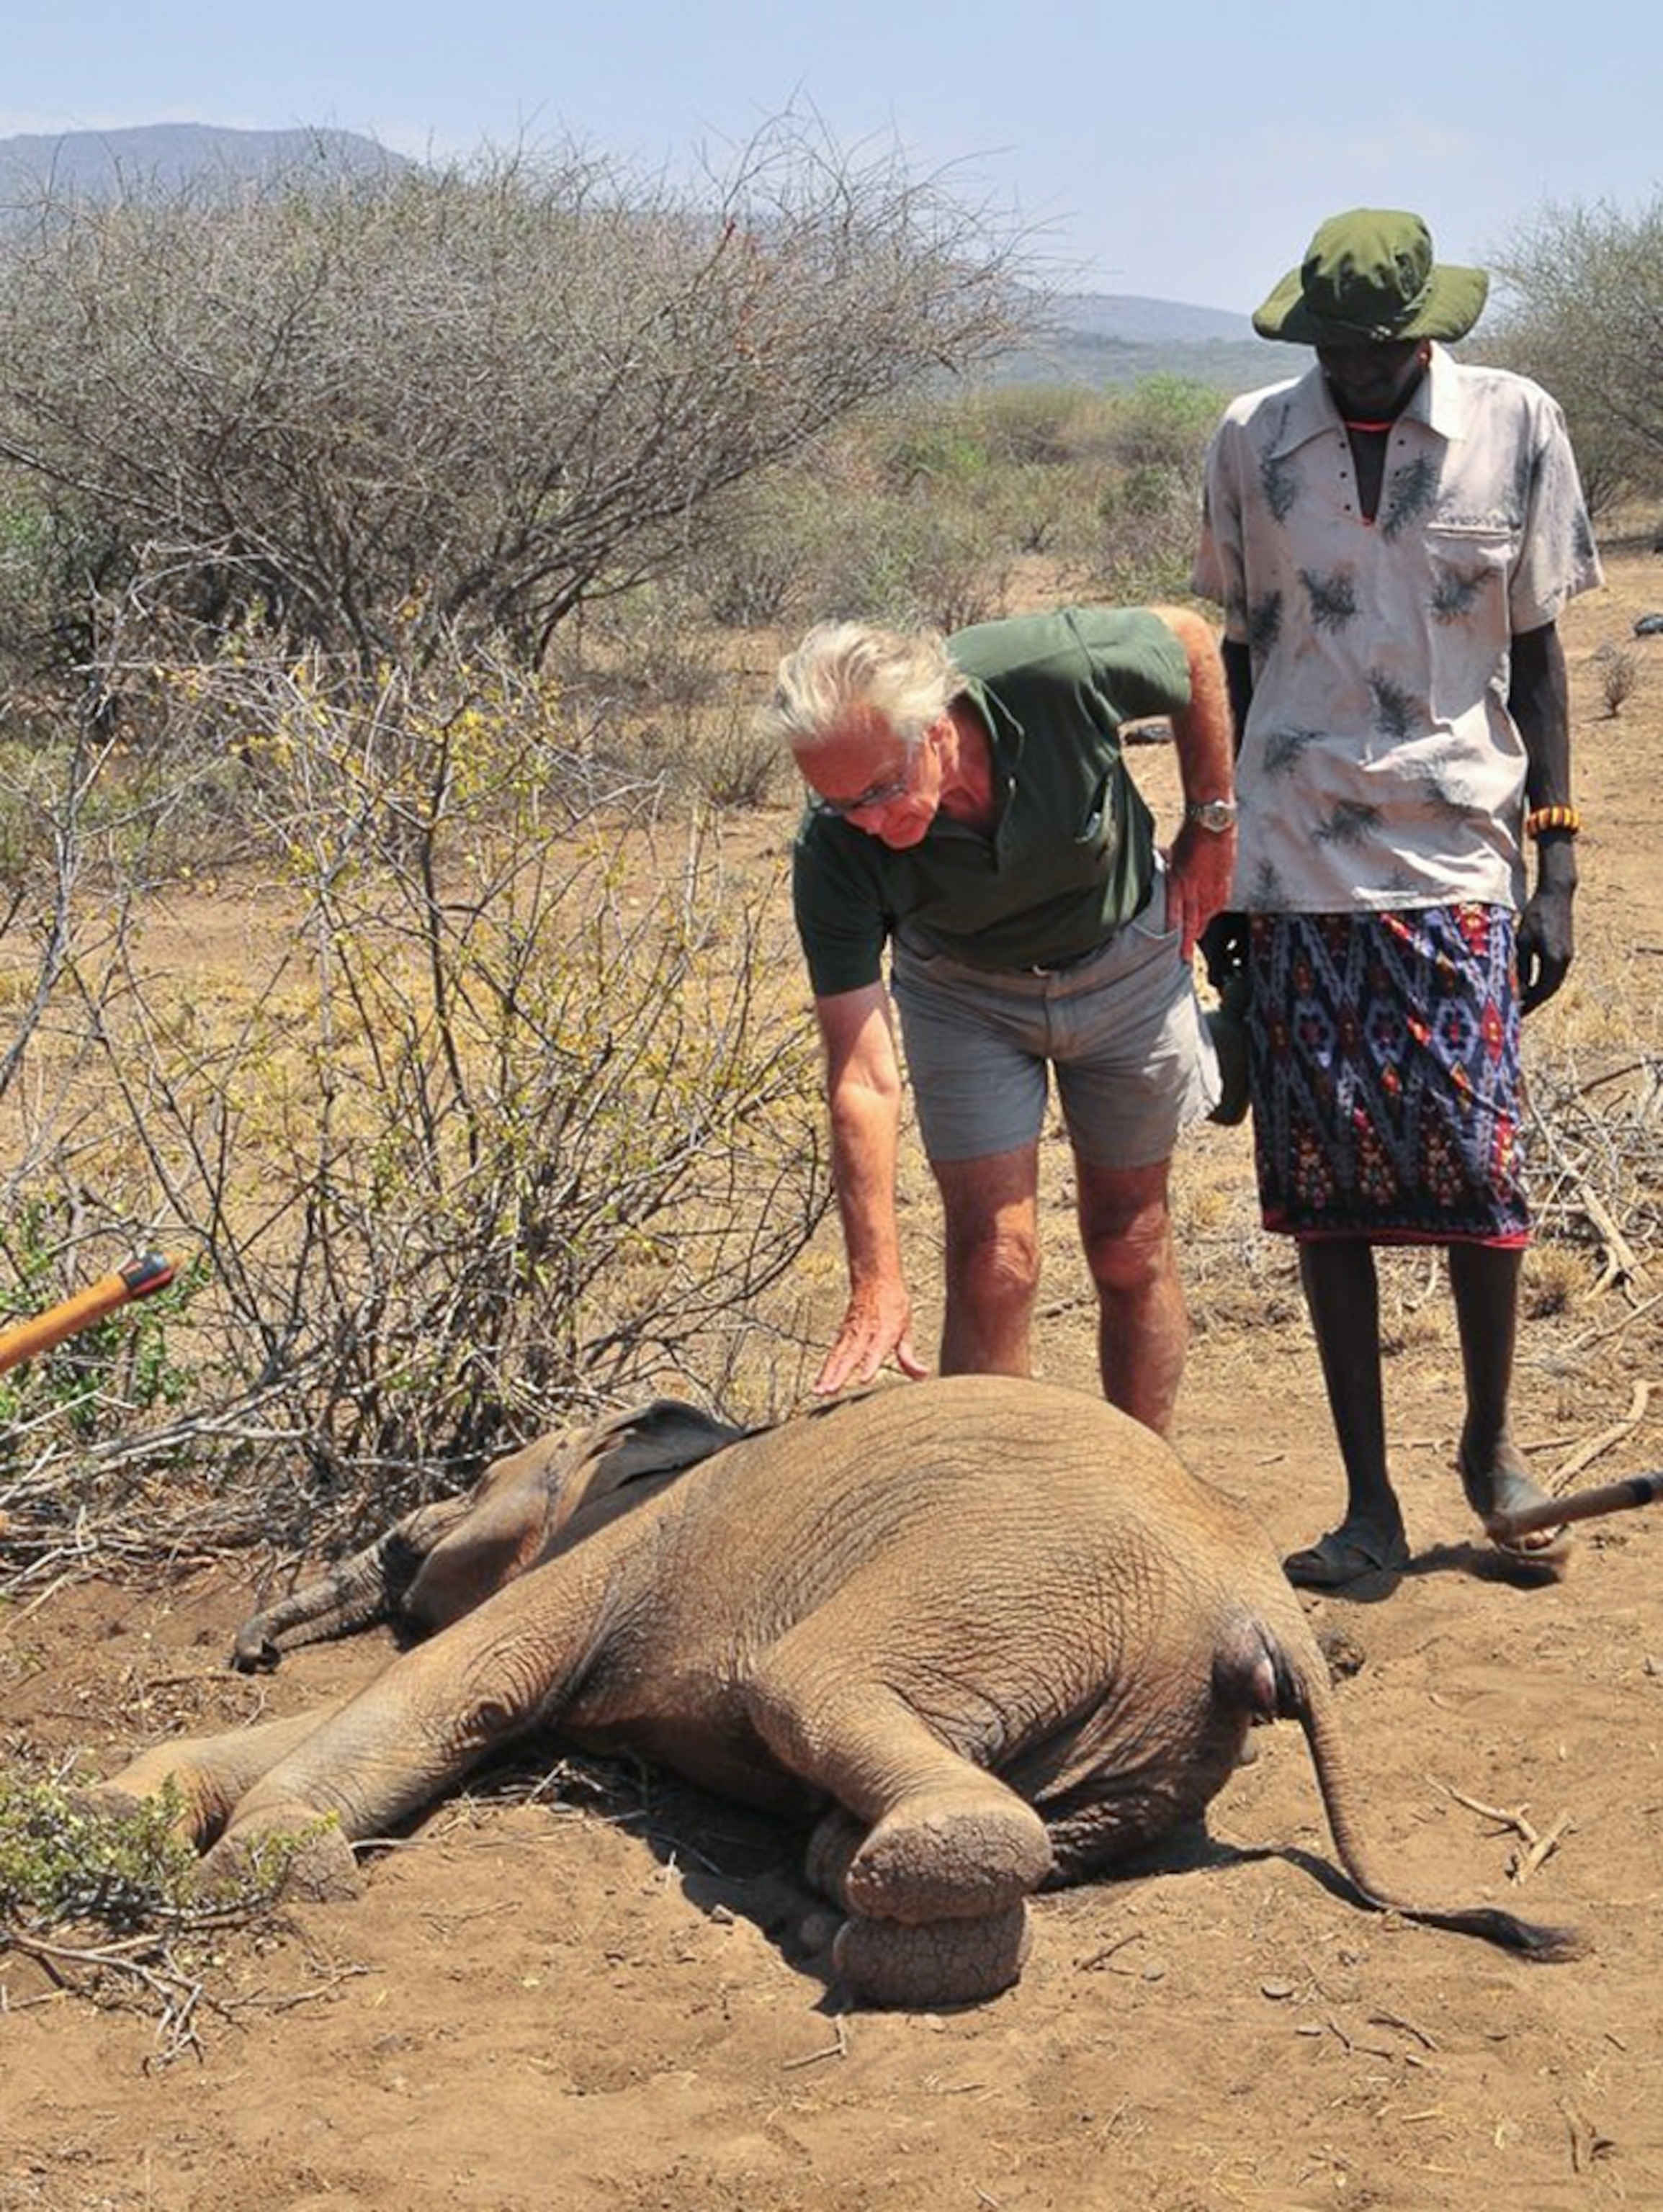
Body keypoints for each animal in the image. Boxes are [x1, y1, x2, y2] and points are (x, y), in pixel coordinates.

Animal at [99, 1375, 1576, 2007]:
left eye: (467, 1486)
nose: (247, 1644)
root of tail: (1258, 1606)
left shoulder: (614, 1557)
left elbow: (449, 1686)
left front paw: (257, 1871)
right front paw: (128, 1809)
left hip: (997, 1580)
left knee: (813, 1700)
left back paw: (852, 1905)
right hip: (1150, 1733)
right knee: (983, 1825)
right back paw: (821, 1889)